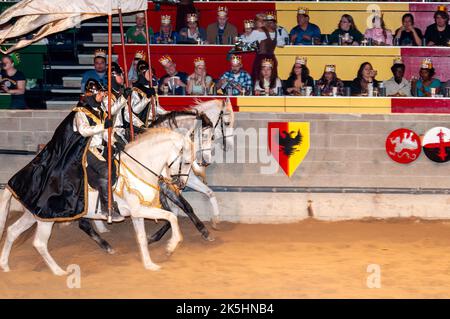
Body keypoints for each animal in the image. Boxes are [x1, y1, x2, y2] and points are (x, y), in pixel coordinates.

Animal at [0, 127, 193, 276]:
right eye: (187, 162)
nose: (180, 184)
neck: (137, 168)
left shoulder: (137, 214)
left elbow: (142, 238)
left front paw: (149, 264)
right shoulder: (139, 211)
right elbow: (171, 217)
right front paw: (171, 246)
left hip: (33, 215)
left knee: (12, 231)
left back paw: (5, 265)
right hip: (46, 220)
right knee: (40, 243)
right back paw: (59, 271)